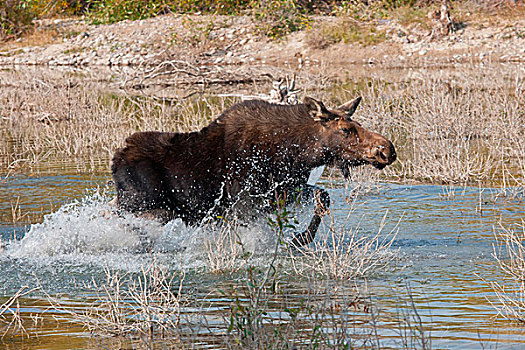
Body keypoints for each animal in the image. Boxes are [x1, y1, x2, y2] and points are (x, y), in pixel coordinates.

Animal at [112, 96, 396, 246]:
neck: (295, 152)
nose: (387, 150)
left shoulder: (284, 189)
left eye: (356, 124)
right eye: (346, 130)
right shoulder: (247, 202)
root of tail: (116, 160)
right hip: (146, 205)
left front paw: (301, 238)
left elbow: (322, 197)